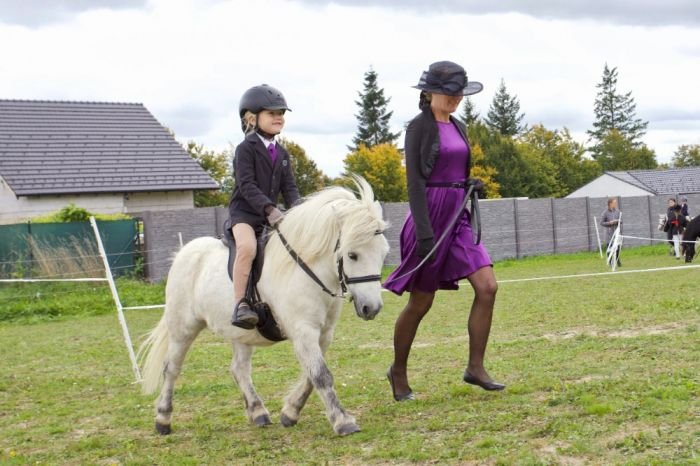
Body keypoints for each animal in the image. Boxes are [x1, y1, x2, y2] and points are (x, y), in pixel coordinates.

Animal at [138, 177, 389, 436]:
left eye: (383, 254)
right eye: (352, 255)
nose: (372, 308)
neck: (308, 270)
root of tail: (182, 253)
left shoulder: (324, 333)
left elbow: (310, 375)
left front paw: (290, 413)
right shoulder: (303, 330)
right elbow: (321, 375)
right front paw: (342, 421)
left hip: (240, 333)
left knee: (239, 369)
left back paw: (258, 412)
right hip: (183, 329)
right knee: (171, 368)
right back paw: (163, 419)